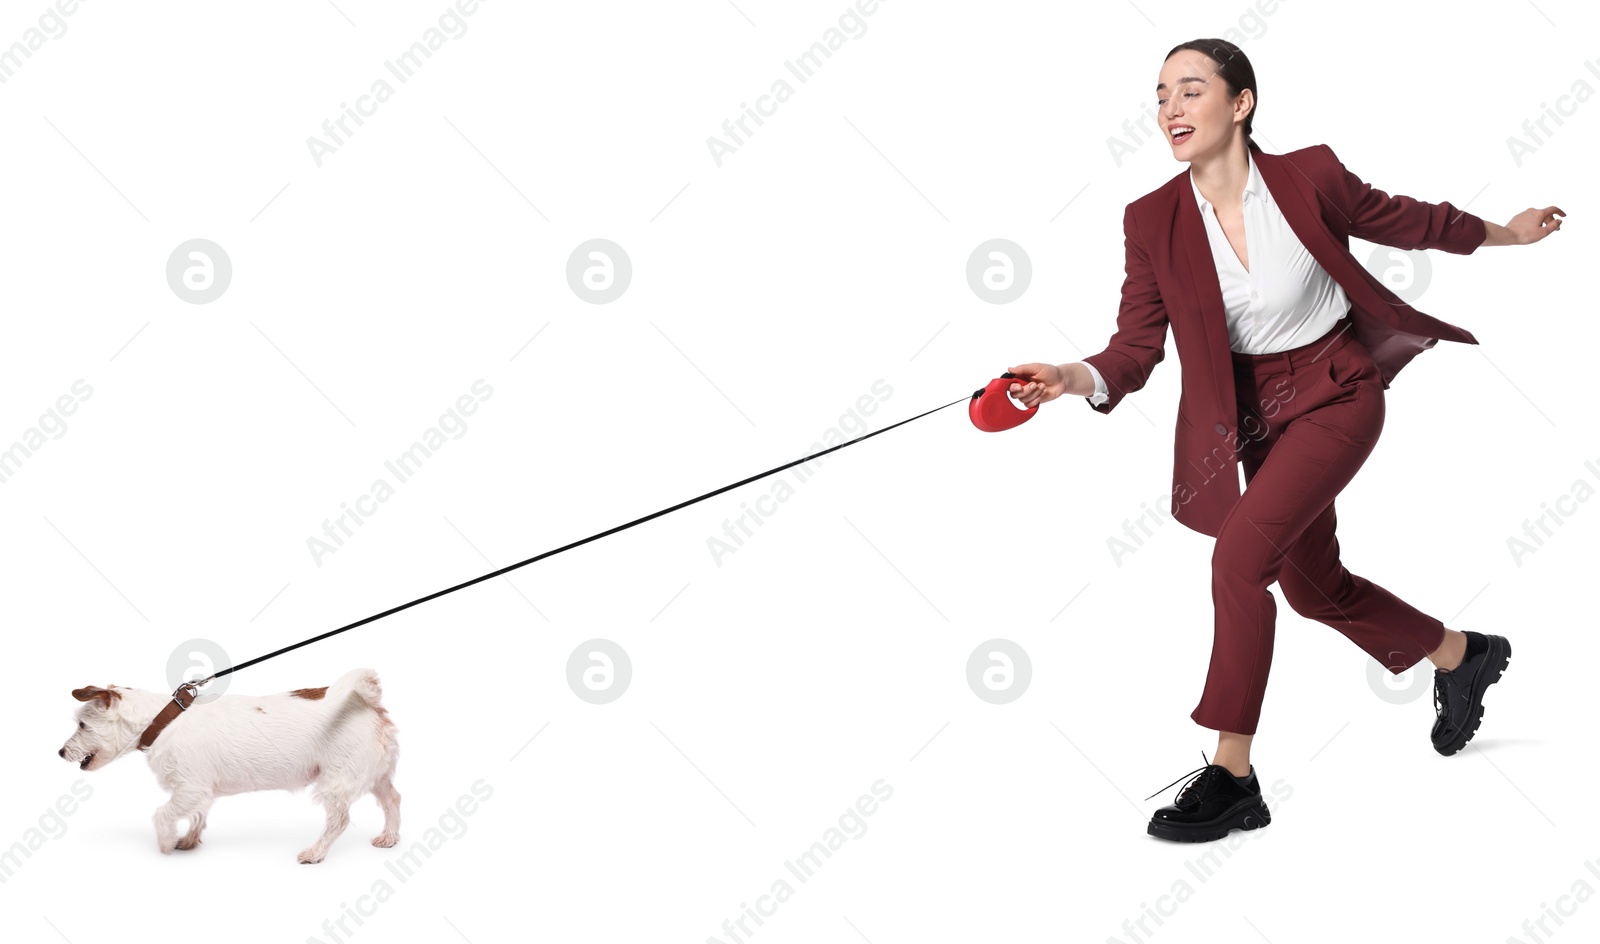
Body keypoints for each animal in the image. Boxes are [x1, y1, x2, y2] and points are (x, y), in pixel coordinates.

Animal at [61, 665, 400, 864]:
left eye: (82, 725)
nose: (60, 752)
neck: (163, 720)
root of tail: (366, 702)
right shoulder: (199, 793)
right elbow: (198, 816)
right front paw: (189, 840)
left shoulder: (189, 789)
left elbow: (162, 815)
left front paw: (166, 843)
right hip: (377, 775)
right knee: (392, 800)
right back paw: (390, 838)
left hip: (336, 782)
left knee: (339, 820)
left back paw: (316, 852)